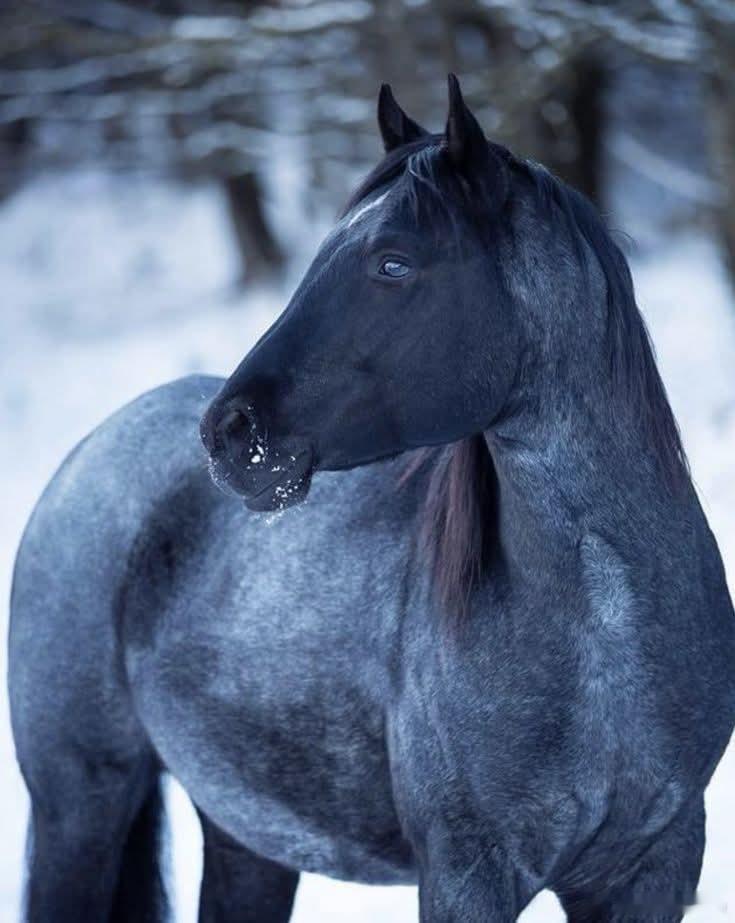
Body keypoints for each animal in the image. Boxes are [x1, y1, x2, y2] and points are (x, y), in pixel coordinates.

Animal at [9, 75, 735, 923]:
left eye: (393, 263)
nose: (230, 432)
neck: (604, 640)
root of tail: (94, 449)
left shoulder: (650, 870)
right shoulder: (465, 876)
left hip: (247, 837)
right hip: (80, 808)